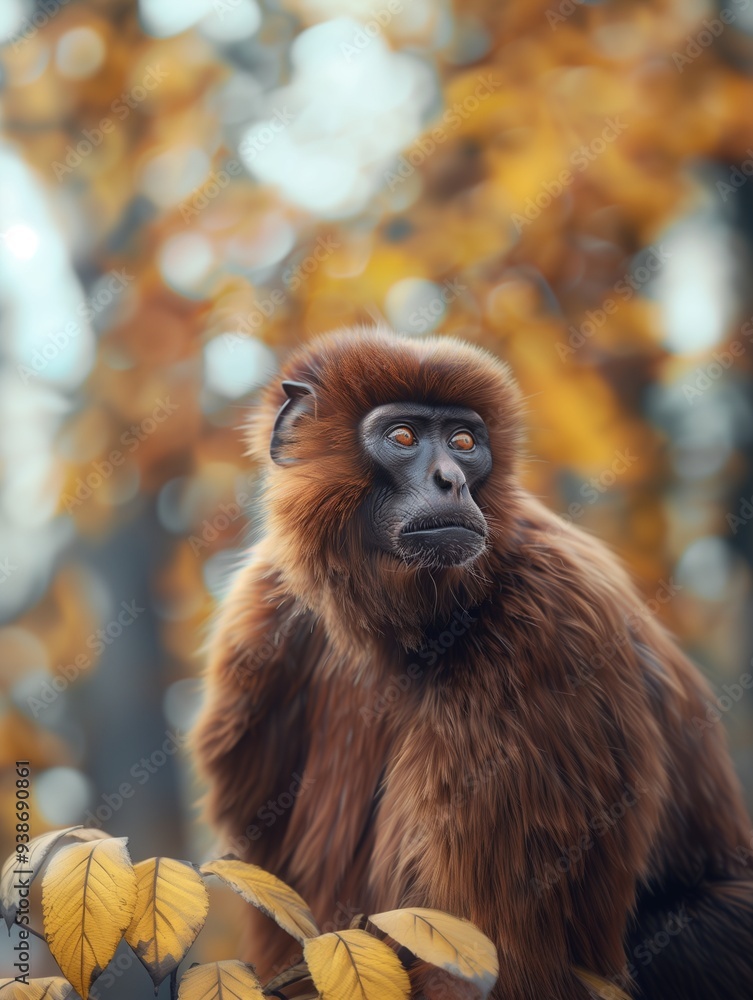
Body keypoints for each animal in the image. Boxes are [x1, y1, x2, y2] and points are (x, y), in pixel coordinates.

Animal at [193, 326, 753, 999]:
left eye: (464, 443)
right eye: (403, 438)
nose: (451, 481)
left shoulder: (547, 629)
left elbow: (505, 965)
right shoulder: (263, 624)